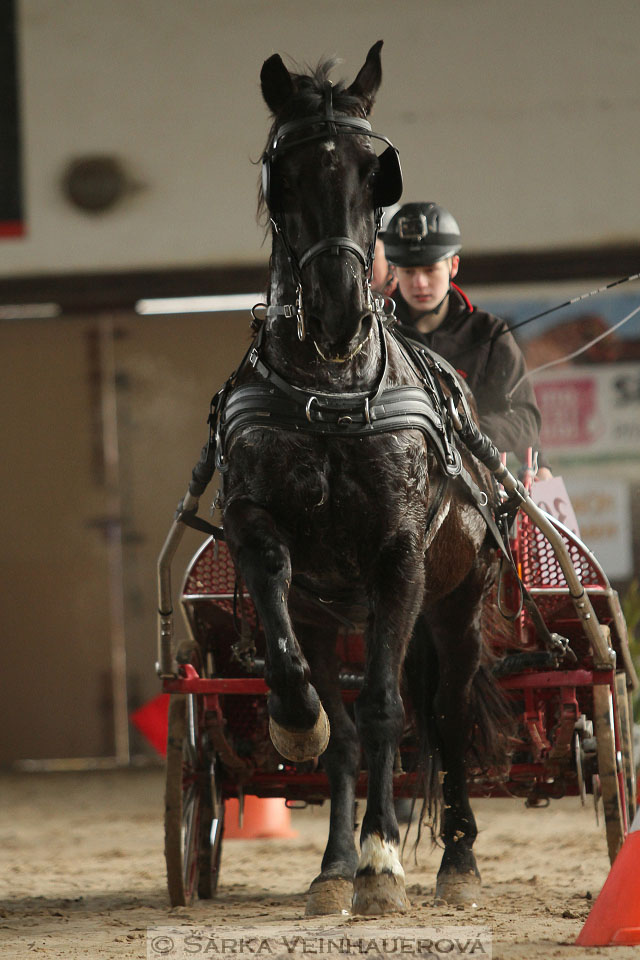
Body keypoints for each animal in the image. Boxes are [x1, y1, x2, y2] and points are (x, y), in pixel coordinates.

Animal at [220, 41, 504, 920]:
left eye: (377, 173)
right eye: (284, 174)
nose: (341, 309)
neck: (331, 388)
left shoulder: (397, 557)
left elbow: (385, 710)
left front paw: (383, 863)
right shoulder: (263, 533)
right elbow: (320, 708)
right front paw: (298, 732)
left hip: (455, 603)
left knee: (443, 716)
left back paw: (456, 858)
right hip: (337, 610)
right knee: (358, 728)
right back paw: (336, 863)